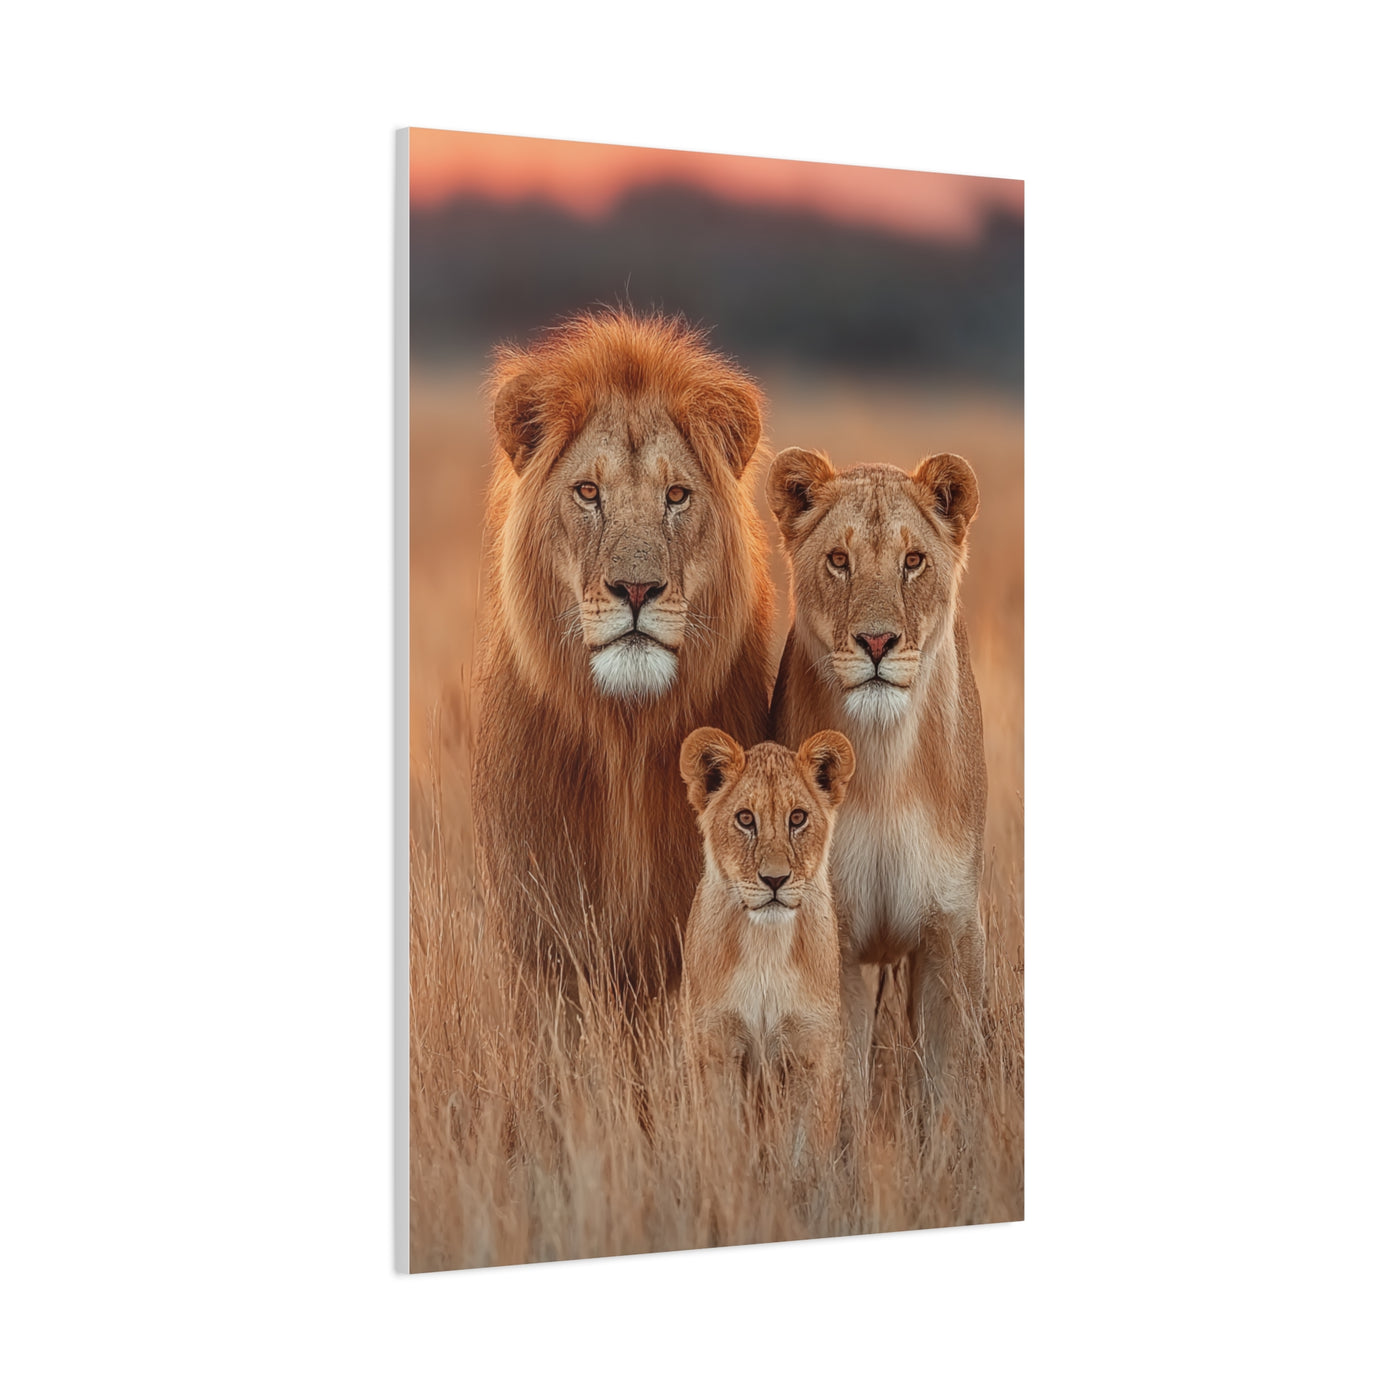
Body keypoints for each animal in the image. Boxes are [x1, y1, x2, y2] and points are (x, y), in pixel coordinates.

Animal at [678, 726, 854, 1164]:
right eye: (745, 819)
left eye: (797, 818)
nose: (775, 879)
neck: (764, 946)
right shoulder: (715, 1045)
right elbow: (723, 1143)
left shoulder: (811, 1051)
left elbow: (805, 1152)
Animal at [767, 446, 987, 1118]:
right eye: (839, 561)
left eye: (912, 561)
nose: (877, 641)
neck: (886, 762)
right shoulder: (832, 937)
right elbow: (842, 1091)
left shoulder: (952, 933)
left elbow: (950, 1087)